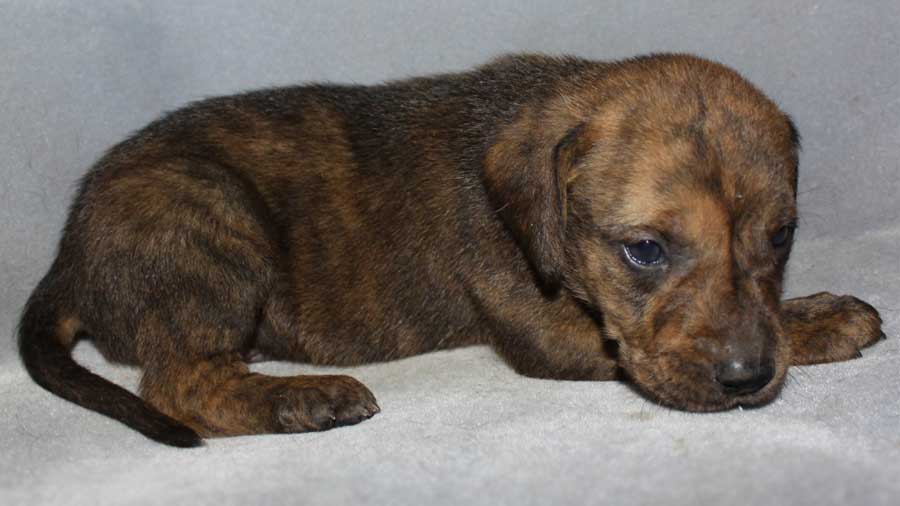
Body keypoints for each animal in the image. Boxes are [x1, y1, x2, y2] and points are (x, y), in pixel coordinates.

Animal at [17, 53, 884, 446]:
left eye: (781, 235)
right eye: (644, 250)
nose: (746, 378)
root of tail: (67, 257)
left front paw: (809, 308)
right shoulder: (554, 334)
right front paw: (824, 320)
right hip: (207, 219)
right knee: (180, 382)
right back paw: (302, 396)